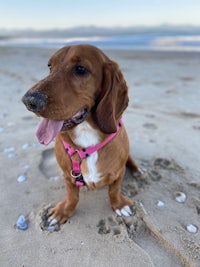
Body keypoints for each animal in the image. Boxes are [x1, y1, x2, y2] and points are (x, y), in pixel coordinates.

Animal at [21, 45, 139, 227]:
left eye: (80, 69)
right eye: (50, 66)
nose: (29, 101)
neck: (86, 135)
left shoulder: (118, 173)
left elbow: (114, 190)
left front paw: (119, 205)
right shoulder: (68, 176)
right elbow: (72, 196)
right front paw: (64, 211)